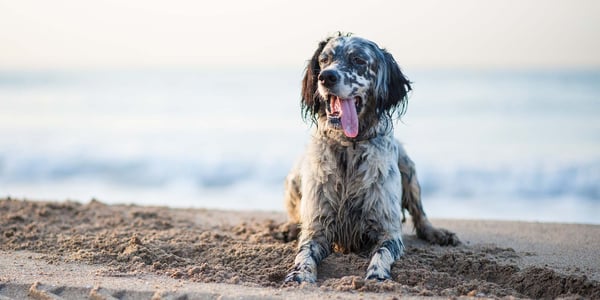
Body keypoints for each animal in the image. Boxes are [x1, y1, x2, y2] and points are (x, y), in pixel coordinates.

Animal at [284, 33, 462, 284]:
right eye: (324, 60)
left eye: (358, 60)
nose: (326, 77)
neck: (349, 148)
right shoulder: (316, 230)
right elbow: (304, 254)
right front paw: (299, 275)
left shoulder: (388, 231)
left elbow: (382, 253)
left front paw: (376, 276)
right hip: (294, 178)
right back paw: (289, 227)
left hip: (408, 168)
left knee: (420, 215)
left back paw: (437, 233)